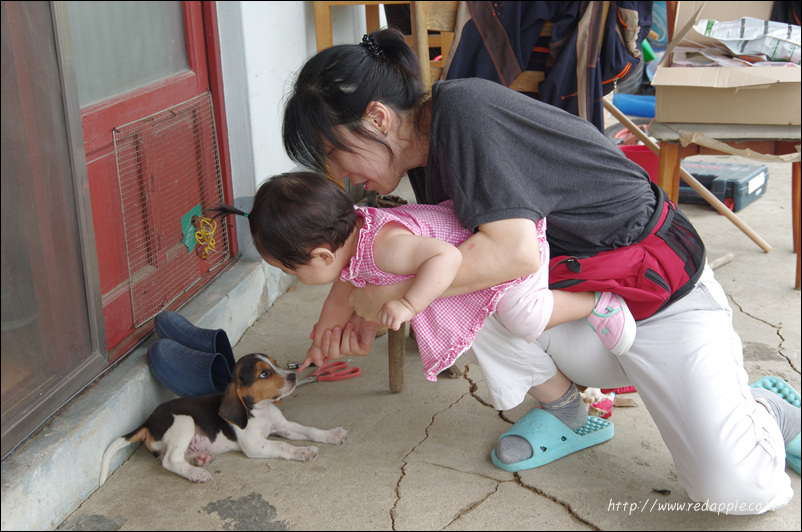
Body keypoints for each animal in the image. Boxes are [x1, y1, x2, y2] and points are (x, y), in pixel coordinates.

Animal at [100, 353, 347, 484]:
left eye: (275, 363)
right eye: (264, 373)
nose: (294, 376)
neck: (260, 410)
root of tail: (147, 422)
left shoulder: (285, 426)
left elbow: (310, 430)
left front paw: (333, 435)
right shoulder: (254, 445)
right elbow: (282, 446)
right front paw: (303, 452)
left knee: (169, 456)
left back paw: (199, 458)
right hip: (183, 421)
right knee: (169, 460)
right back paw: (196, 472)